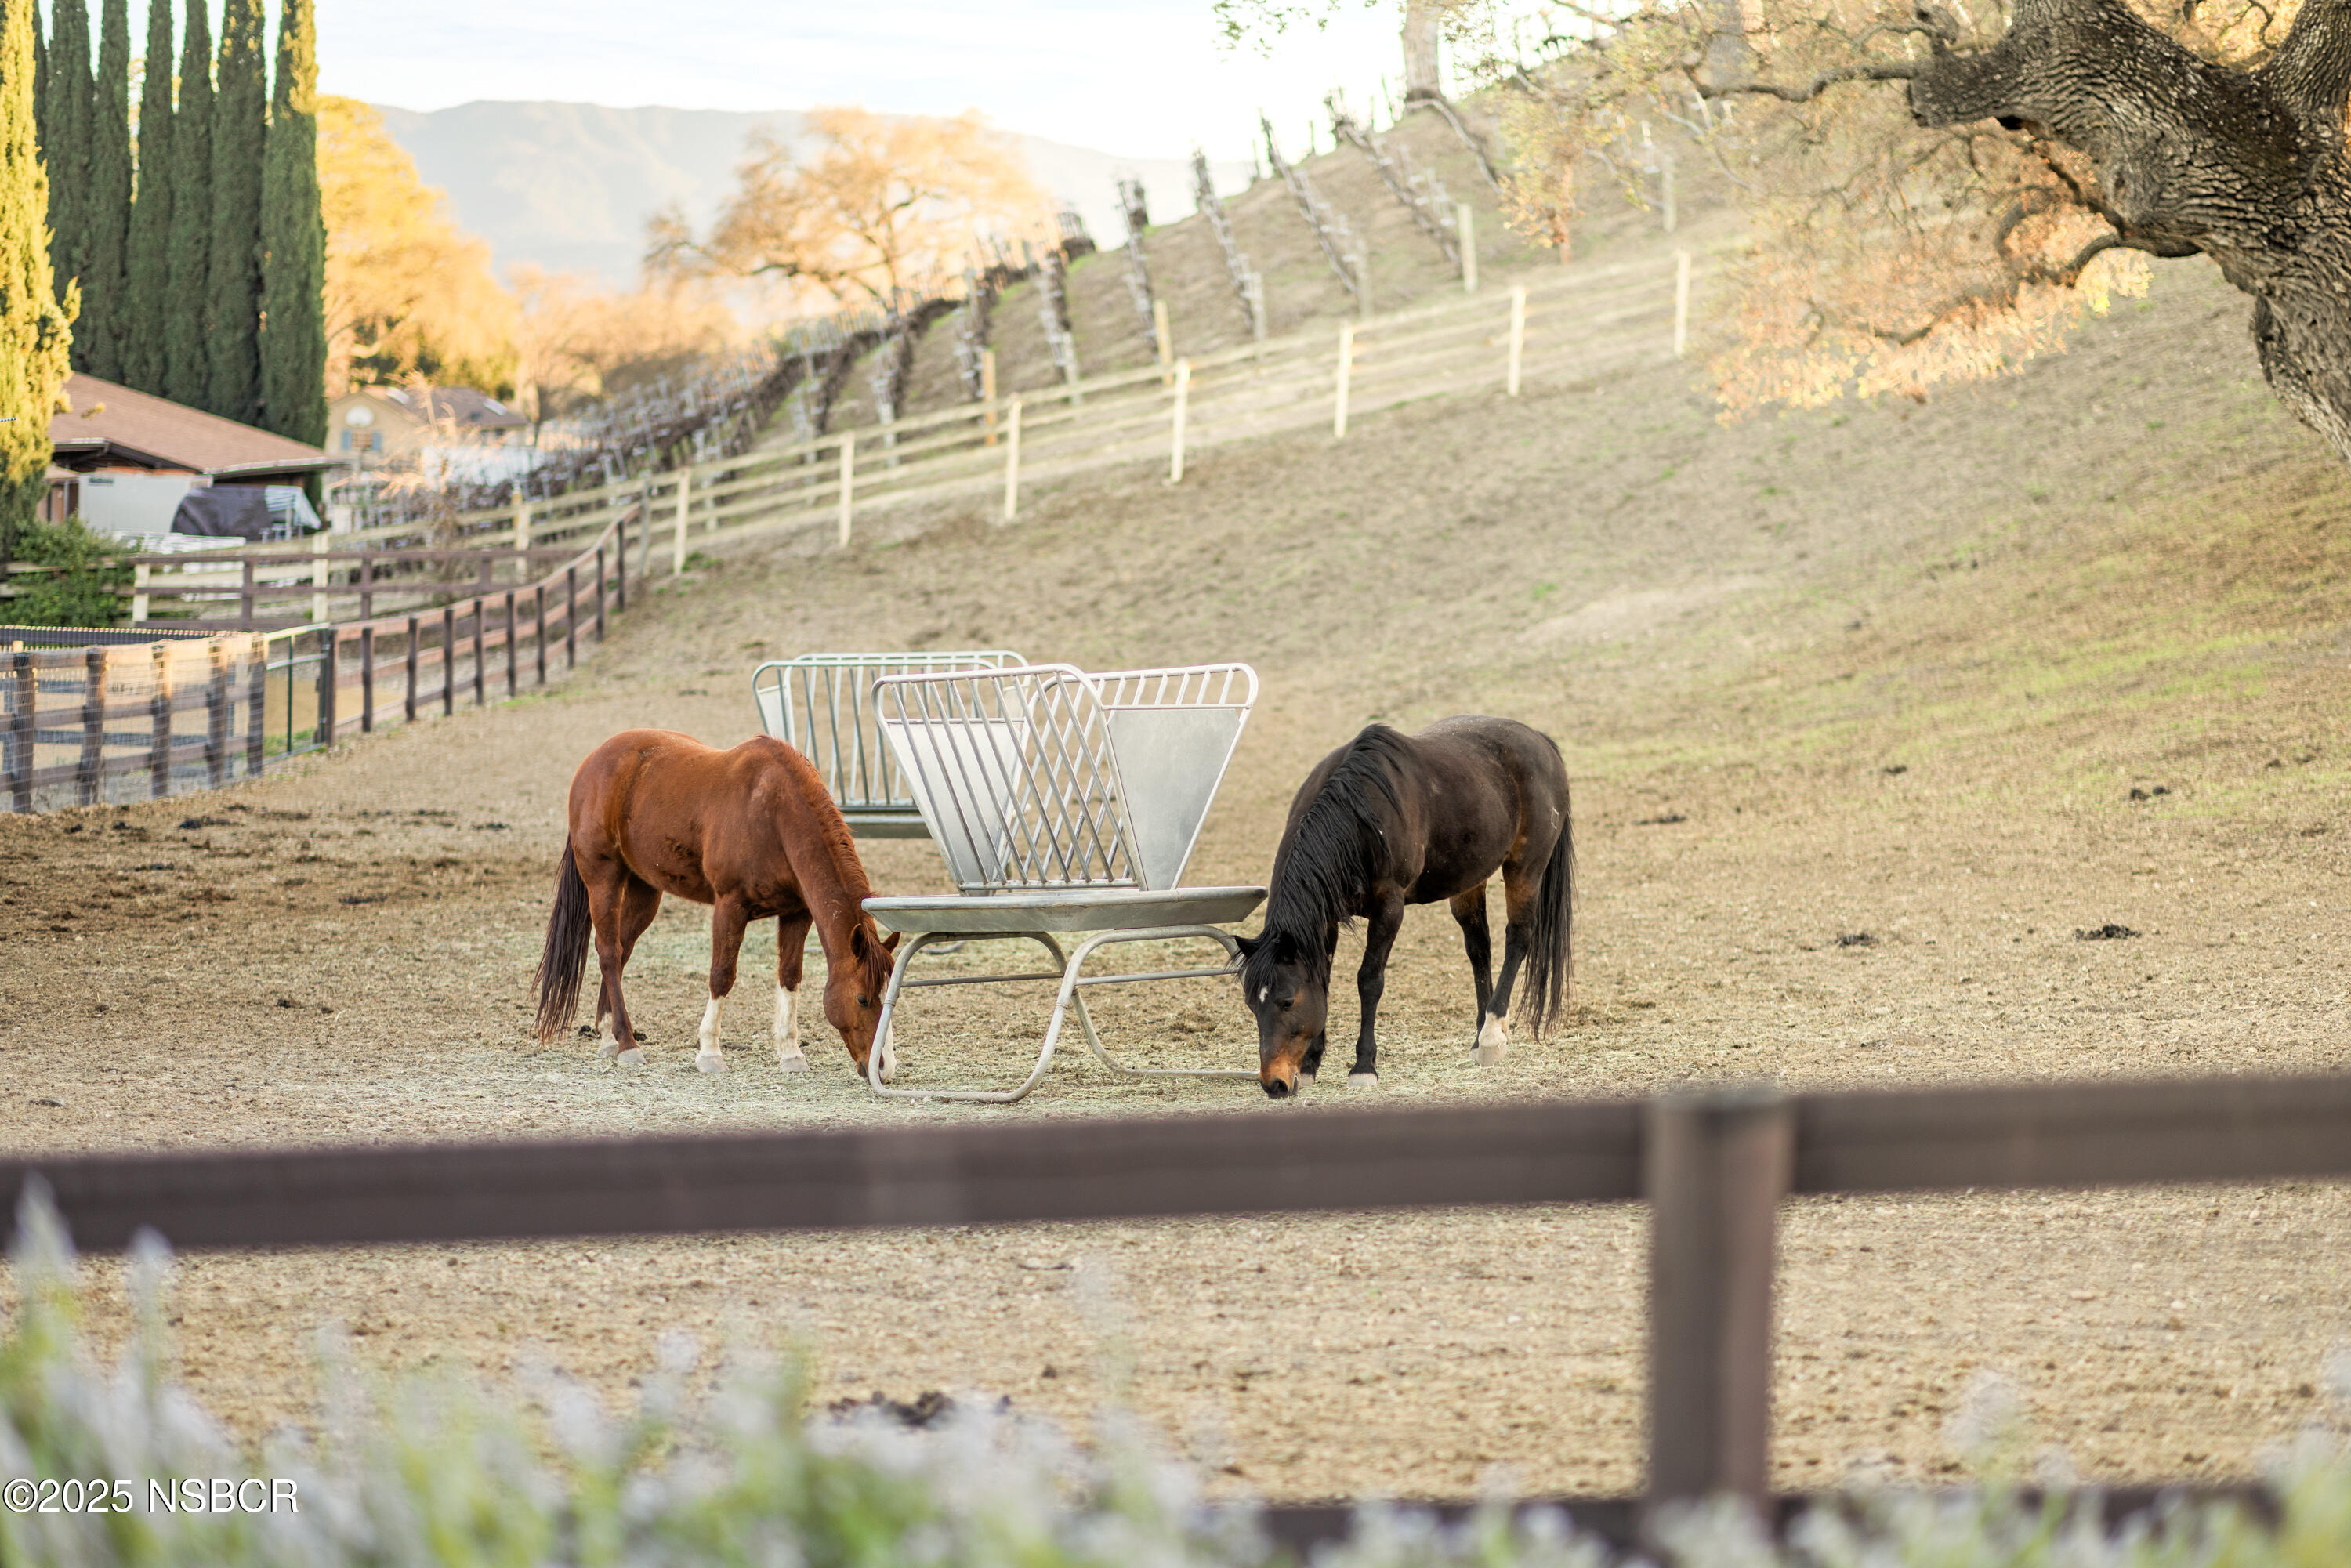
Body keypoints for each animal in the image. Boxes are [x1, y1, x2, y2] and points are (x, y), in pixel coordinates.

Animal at [531, 729, 901, 1079]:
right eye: (862, 998)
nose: (883, 1067)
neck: (773, 815)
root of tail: (593, 762)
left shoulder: (796, 913)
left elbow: (789, 977)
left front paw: (791, 1054)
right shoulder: (730, 906)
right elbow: (722, 975)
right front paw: (710, 1053)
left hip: (645, 890)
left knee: (622, 951)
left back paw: (609, 1037)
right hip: (603, 879)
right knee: (609, 952)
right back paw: (627, 1043)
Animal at [1236, 716, 1572, 1097]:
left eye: (1287, 1001)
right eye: (1252, 1004)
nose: (1274, 1083)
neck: (1359, 815)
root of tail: (1540, 740)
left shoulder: (1389, 908)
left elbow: (1370, 980)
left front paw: (1364, 1067)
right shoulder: (1326, 918)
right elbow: (1323, 979)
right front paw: (1310, 1065)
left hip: (1525, 868)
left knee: (1518, 938)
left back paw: (1491, 1035)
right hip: (1470, 879)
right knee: (1479, 949)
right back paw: (1480, 1036)